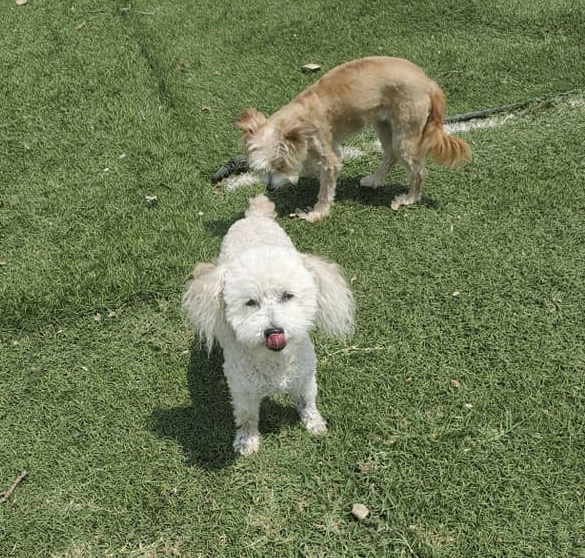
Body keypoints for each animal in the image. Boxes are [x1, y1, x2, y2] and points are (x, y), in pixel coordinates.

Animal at [182, 195, 354, 458]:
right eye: (251, 302)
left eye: (287, 295)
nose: (274, 332)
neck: (274, 362)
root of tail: (255, 216)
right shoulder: (242, 390)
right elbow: (247, 417)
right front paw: (246, 441)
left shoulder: (305, 377)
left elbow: (308, 402)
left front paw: (314, 423)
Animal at [236, 57, 470, 222]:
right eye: (261, 168)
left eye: (280, 165)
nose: (269, 188)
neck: (300, 117)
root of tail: (429, 82)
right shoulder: (326, 146)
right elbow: (313, 165)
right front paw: (312, 172)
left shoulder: (329, 156)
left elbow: (325, 189)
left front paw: (317, 213)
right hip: (383, 124)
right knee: (390, 155)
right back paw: (375, 180)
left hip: (405, 133)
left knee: (418, 171)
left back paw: (409, 198)